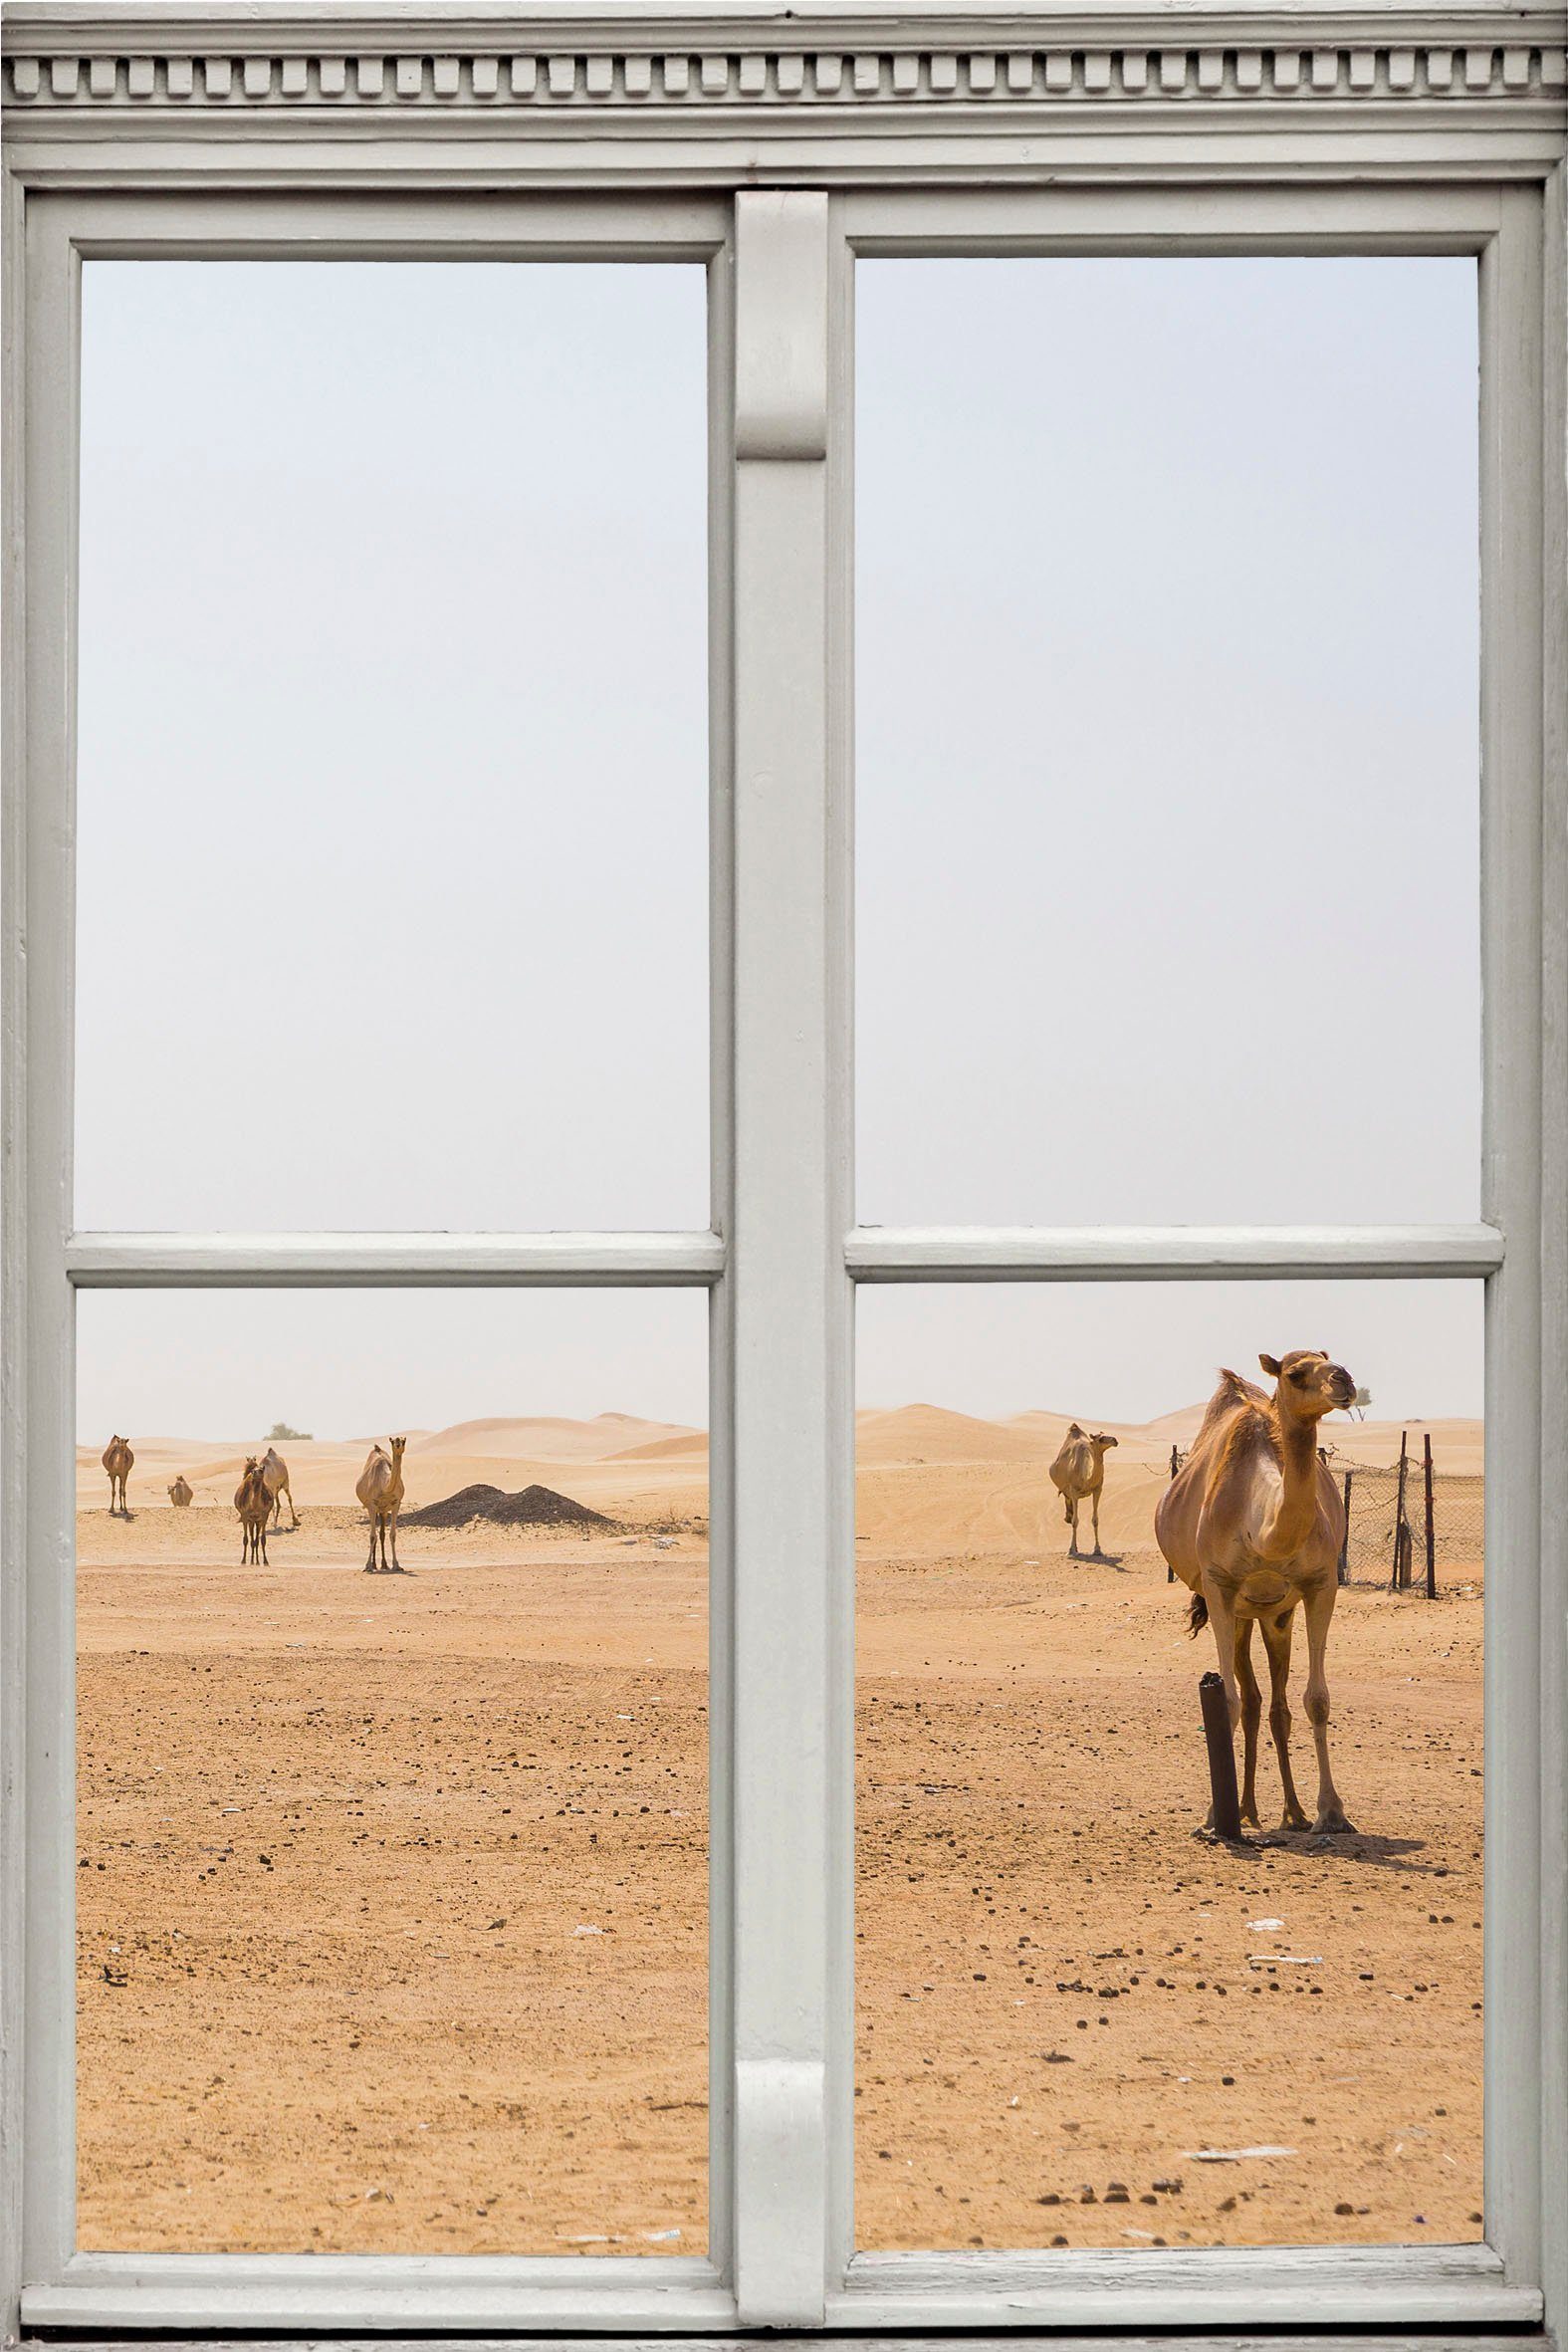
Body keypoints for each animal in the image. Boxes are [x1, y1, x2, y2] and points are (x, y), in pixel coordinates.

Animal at [354, 1430, 404, 1580]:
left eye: (404, 1440)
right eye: (393, 1441)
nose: (399, 1444)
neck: (385, 1486)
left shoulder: (395, 1504)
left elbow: (392, 1534)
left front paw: (396, 1565)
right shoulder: (371, 1505)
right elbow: (372, 1536)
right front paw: (368, 1566)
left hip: (383, 1511)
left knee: (381, 1534)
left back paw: (383, 1564)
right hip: (374, 1508)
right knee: (375, 1534)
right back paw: (375, 1564)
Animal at [1048, 1420, 1123, 1551]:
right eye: (1101, 1438)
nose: (1115, 1440)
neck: (1086, 1478)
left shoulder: (1098, 1489)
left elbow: (1095, 1520)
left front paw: (1097, 1549)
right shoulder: (1074, 1491)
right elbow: (1075, 1521)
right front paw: (1072, 1548)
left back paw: (1067, 1516)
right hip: (1069, 1491)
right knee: (1068, 1501)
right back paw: (1068, 1517)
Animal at [1152, 1363, 1363, 1834]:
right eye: (1296, 1372)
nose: (1343, 1379)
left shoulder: (1322, 1585)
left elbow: (1317, 1700)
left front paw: (1331, 1812)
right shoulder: (1217, 1587)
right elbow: (1227, 1702)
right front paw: (1215, 1815)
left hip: (1274, 1613)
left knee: (1274, 1707)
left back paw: (1290, 1812)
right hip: (1236, 1611)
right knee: (1249, 1701)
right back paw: (1244, 1810)